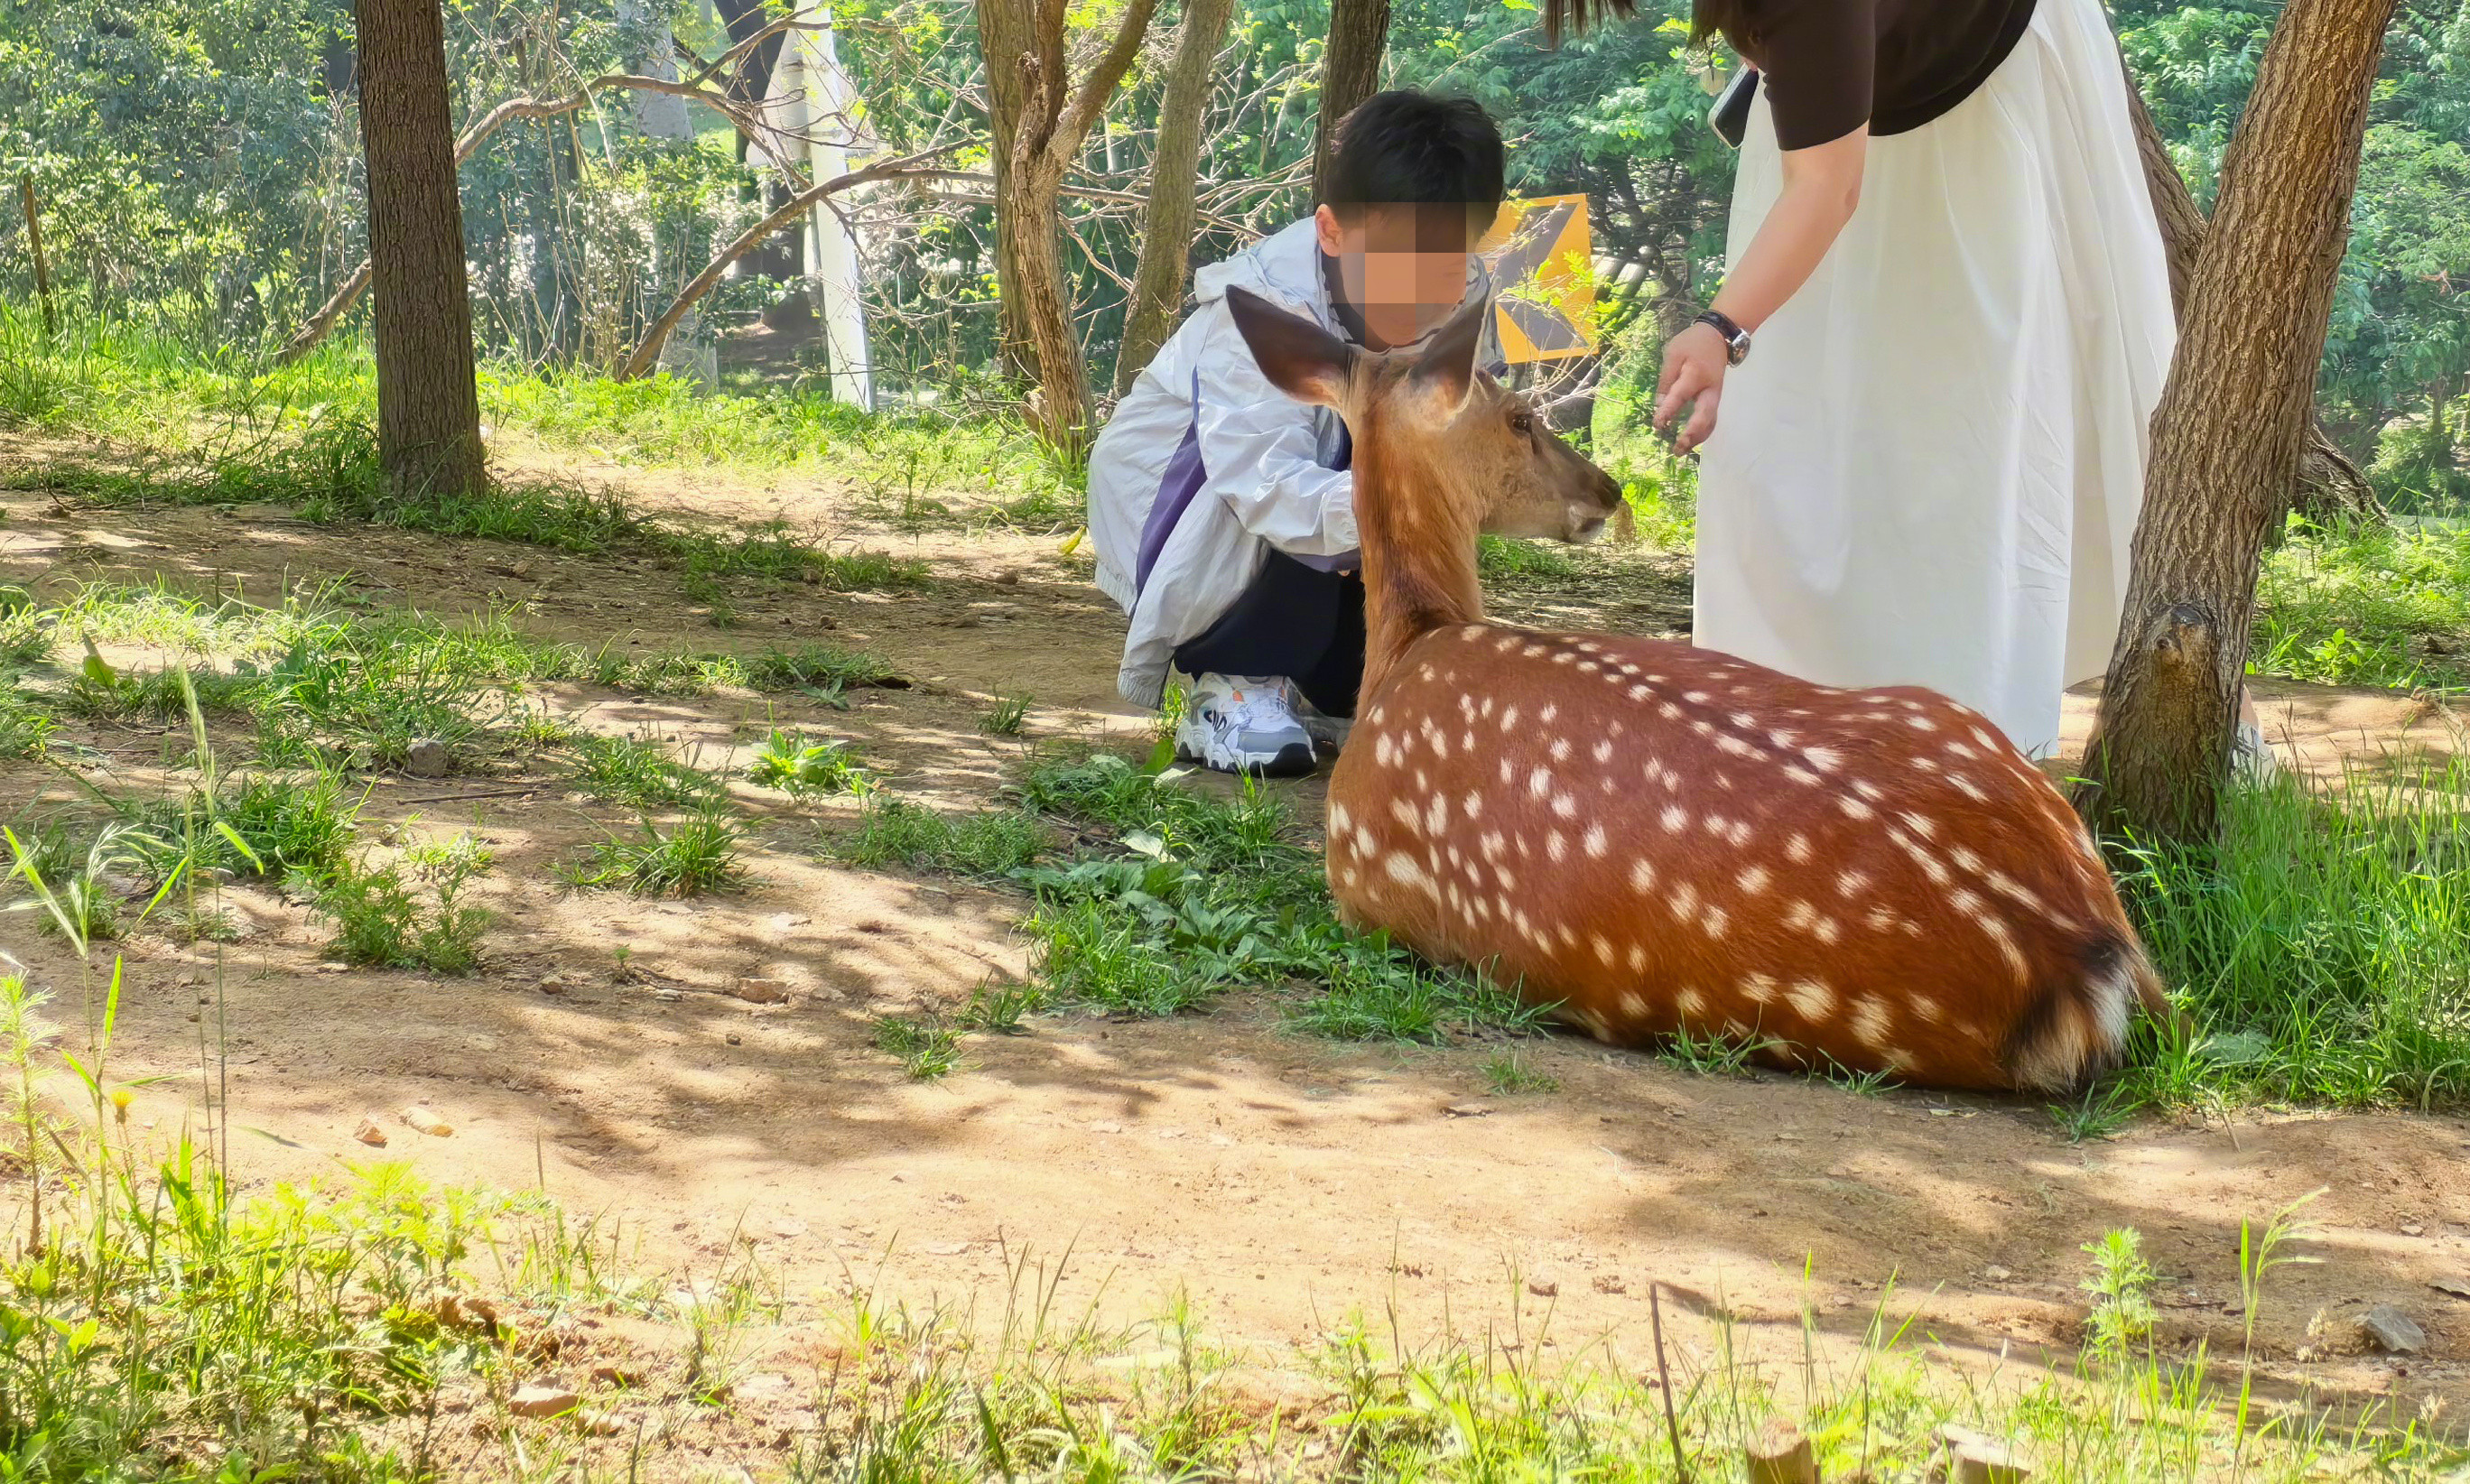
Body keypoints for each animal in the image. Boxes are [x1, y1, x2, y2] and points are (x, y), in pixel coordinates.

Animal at [1223, 284, 2171, 1095]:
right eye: (1521, 418)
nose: (1607, 486)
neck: (1410, 647)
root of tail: (2083, 955)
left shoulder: (1364, 889)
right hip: (1961, 722)